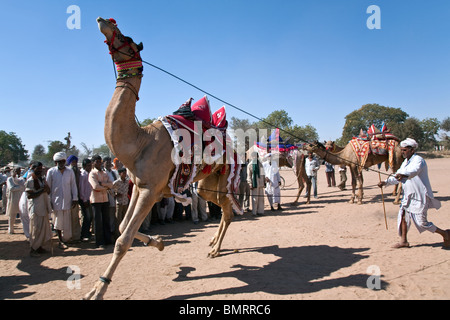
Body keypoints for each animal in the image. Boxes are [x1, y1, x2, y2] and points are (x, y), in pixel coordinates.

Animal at [82, 18, 241, 300]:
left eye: (127, 37)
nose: (103, 21)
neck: (139, 142)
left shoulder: (151, 189)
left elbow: (122, 240)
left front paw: (97, 290)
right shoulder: (139, 186)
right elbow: (123, 227)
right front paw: (159, 243)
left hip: (225, 174)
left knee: (228, 209)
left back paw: (215, 249)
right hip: (206, 183)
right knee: (221, 205)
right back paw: (213, 243)